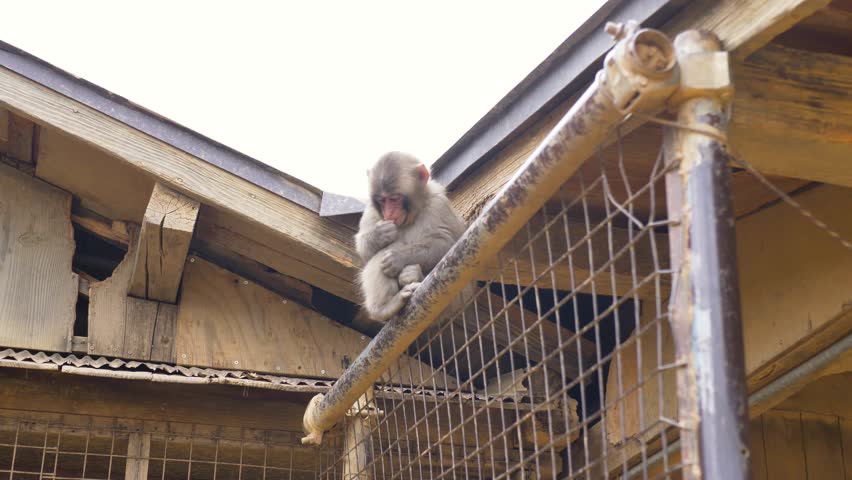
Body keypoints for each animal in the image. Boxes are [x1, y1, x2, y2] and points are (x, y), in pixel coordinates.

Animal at [355, 151, 466, 322]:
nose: (389, 213)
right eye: (382, 200)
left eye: (394, 198)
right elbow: (364, 250)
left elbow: (445, 241)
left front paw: (398, 258)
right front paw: (380, 234)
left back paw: (414, 276)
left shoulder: (438, 203)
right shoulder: (370, 211)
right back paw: (385, 307)